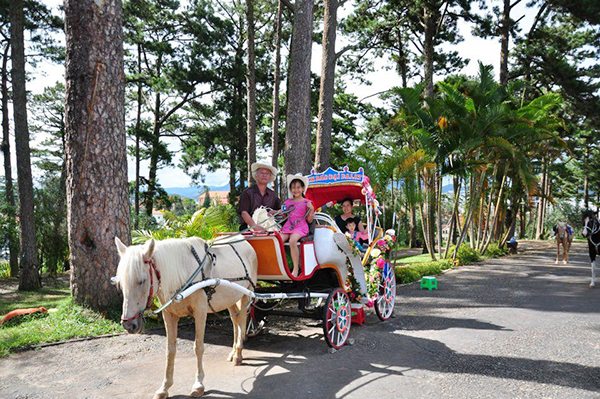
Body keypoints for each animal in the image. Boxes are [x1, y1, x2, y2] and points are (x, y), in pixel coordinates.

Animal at [113, 236, 256, 398]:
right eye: (120, 283)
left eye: (142, 281)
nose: (129, 325)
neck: (183, 274)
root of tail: (244, 241)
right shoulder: (169, 315)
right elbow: (170, 350)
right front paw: (165, 387)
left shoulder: (200, 312)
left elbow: (198, 347)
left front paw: (199, 384)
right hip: (230, 299)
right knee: (235, 320)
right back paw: (233, 352)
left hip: (246, 294)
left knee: (242, 320)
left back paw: (238, 354)